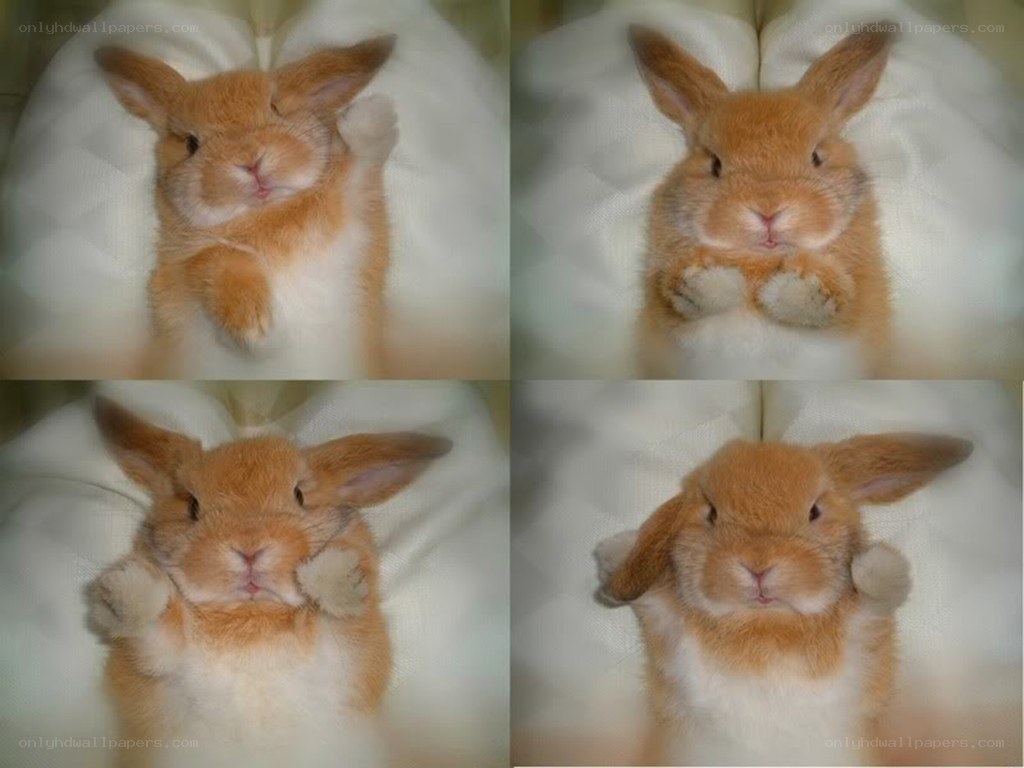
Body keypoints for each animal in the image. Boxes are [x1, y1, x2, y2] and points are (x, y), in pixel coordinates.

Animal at [86, 397, 451, 768]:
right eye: (192, 505)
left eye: (299, 495)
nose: (249, 549)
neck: (251, 614)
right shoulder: (162, 663)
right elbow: (155, 631)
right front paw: (124, 591)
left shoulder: (347, 654)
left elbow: (341, 616)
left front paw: (333, 572)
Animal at [95, 37, 398, 378]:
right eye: (191, 144)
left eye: (276, 108)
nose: (250, 162)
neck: (263, 214)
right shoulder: (176, 275)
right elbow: (215, 260)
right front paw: (259, 334)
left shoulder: (358, 214)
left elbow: (359, 162)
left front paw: (373, 114)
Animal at [594, 432, 972, 765]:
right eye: (712, 513)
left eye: (815, 511)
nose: (758, 566)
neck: (767, 622)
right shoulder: (671, 632)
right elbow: (653, 599)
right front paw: (613, 549)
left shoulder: (865, 627)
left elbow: (883, 589)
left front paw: (870, 563)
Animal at [631, 24, 894, 379]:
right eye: (715, 164)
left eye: (816, 157)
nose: (768, 212)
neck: (760, 262)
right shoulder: (662, 317)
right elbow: (674, 300)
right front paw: (706, 278)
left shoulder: (861, 315)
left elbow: (842, 307)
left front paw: (799, 285)